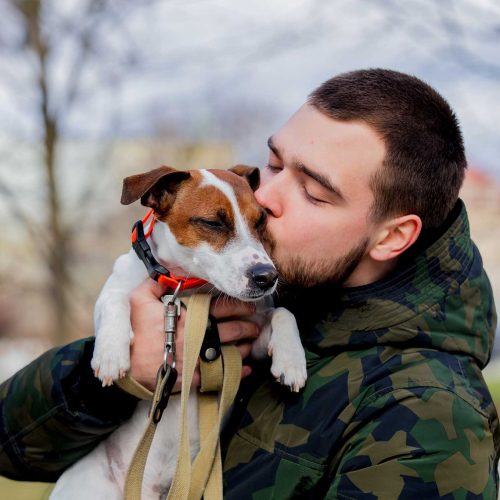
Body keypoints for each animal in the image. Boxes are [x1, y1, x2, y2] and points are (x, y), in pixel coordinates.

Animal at [51, 166, 308, 498]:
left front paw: (292, 361)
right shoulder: (113, 292)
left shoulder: (250, 339)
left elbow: (283, 313)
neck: (189, 291)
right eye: (213, 223)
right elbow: (115, 300)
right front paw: (110, 354)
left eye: (261, 221)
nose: (267, 277)